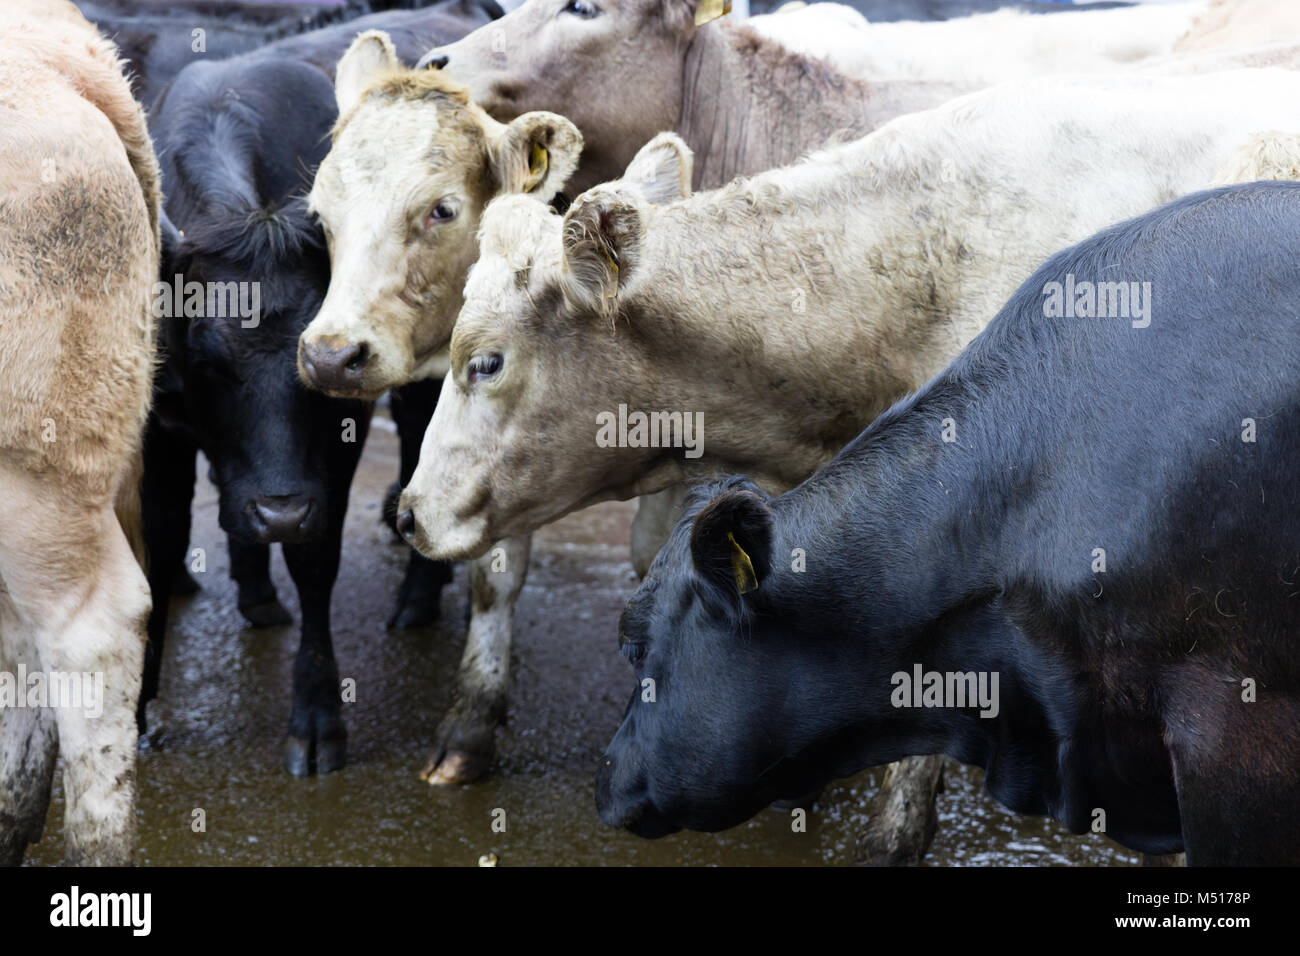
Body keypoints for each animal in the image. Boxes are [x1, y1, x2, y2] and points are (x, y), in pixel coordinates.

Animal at [139, 3, 488, 775]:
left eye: (315, 371)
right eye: (208, 363)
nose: (279, 511)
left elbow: (316, 559)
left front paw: (317, 714)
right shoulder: (158, 431)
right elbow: (159, 549)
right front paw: (140, 709)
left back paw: (417, 598)